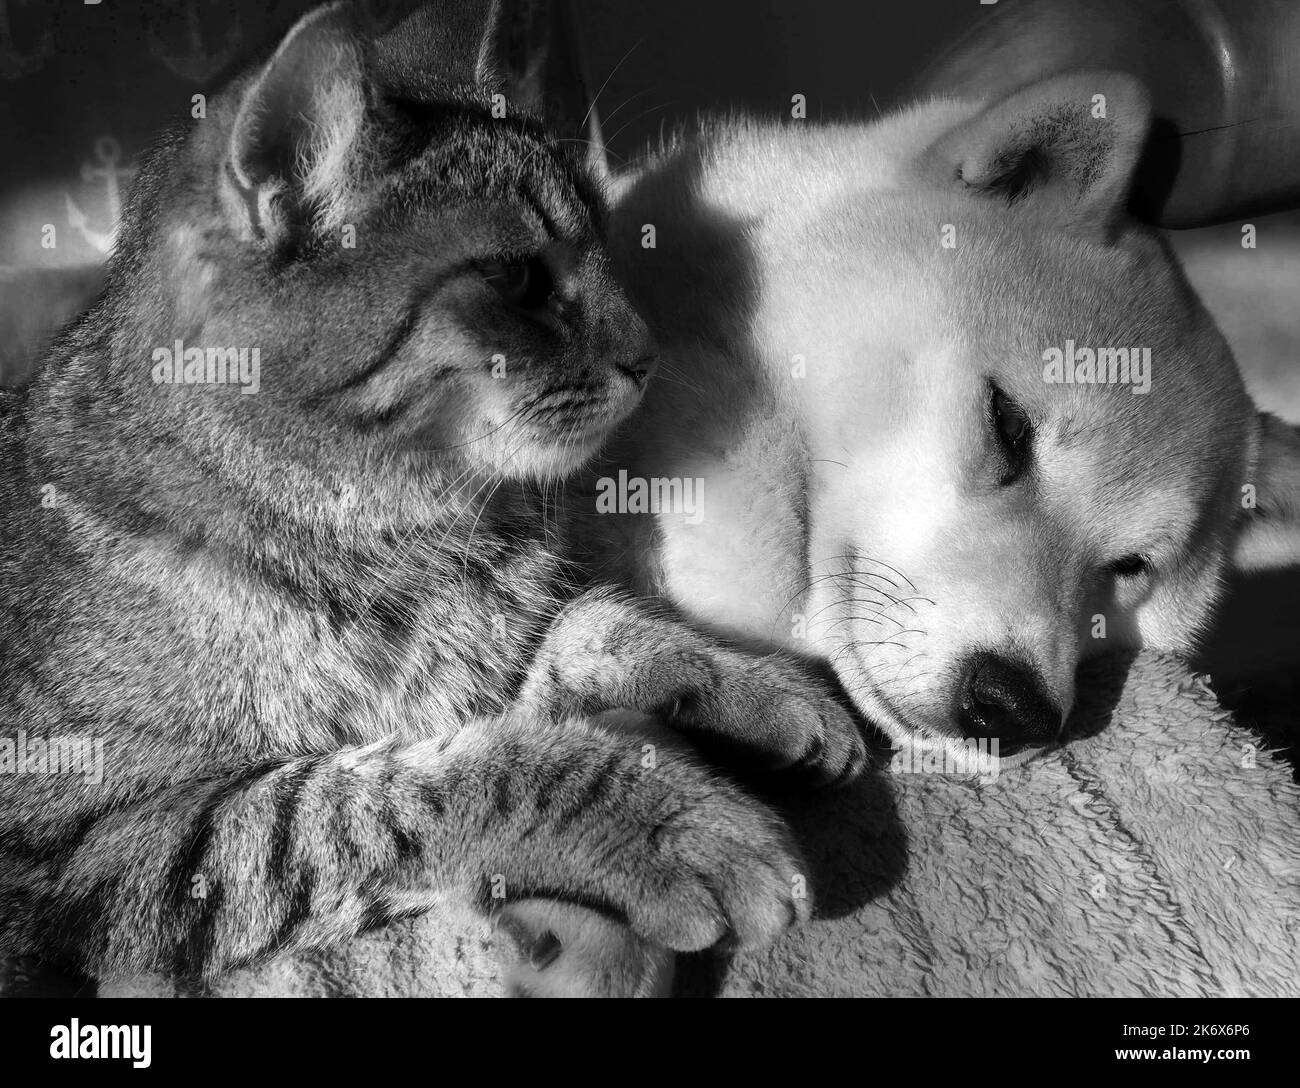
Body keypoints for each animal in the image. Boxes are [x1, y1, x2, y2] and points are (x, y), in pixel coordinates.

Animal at [0, 0, 868, 993]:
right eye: (519, 278)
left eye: (611, 240)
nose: (649, 354)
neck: (423, 533)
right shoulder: (107, 845)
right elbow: (415, 786)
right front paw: (671, 817)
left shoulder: (489, 658)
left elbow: (603, 630)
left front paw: (751, 687)